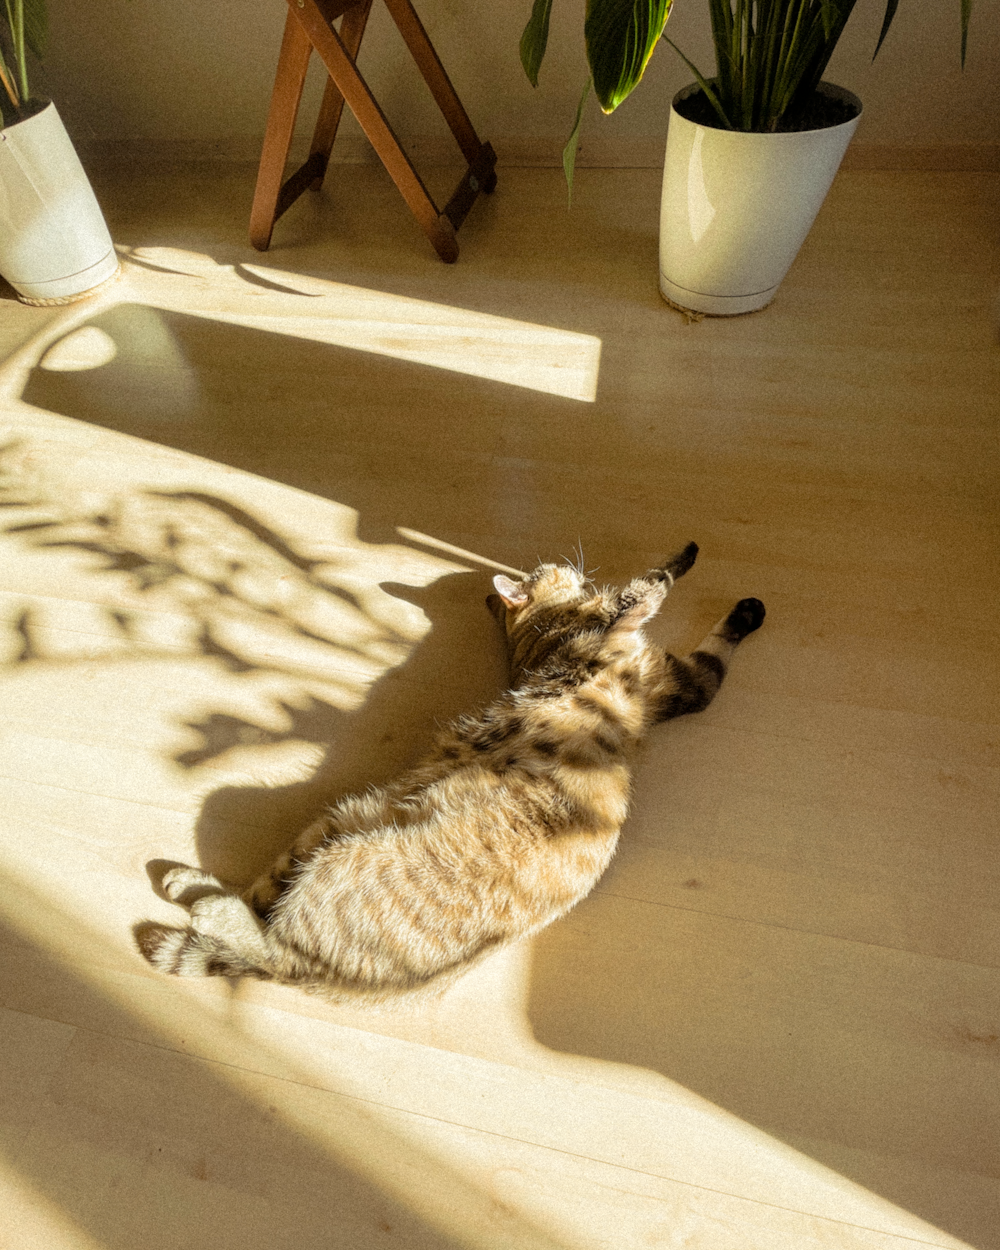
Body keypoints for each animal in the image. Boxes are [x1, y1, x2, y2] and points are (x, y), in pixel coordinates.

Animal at [136, 542, 760, 1000]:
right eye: (549, 569)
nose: (570, 562)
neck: (537, 641)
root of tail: (327, 978)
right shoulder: (627, 629)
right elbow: (653, 582)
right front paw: (687, 554)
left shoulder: (681, 685)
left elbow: (712, 655)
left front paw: (748, 611)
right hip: (339, 842)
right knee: (267, 935)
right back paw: (204, 898)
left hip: (333, 829)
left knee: (264, 909)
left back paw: (191, 886)